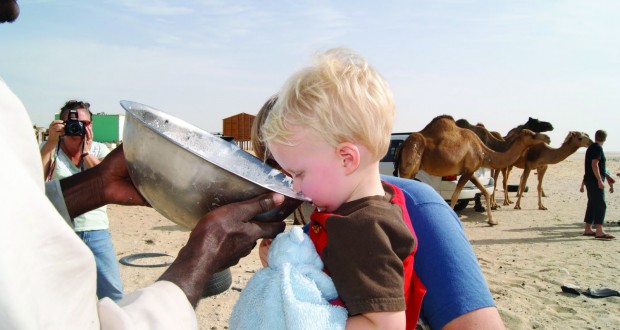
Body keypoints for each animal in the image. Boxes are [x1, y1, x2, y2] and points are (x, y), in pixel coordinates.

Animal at [394, 114, 544, 226]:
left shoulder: (470, 171)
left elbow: (485, 192)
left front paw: (492, 221)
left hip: (413, 169)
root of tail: (403, 145)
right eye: (531, 134)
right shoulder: (466, 172)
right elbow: (455, 197)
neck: (483, 152)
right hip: (410, 163)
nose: (546, 138)